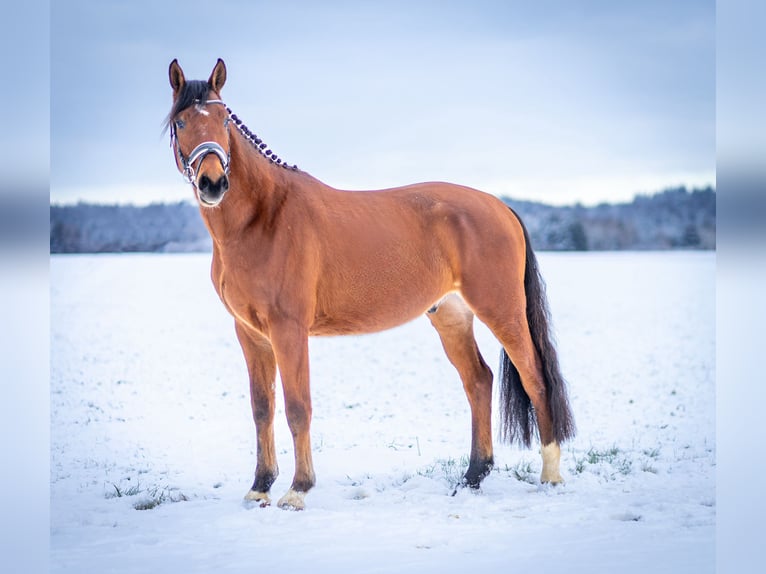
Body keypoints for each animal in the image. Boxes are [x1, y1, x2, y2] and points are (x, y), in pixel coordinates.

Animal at [168, 56, 576, 510]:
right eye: (181, 121)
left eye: (223, 118)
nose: (213, 183)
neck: (264, 216)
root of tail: (500, 206)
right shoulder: (250, 333)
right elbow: (262, 409)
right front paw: (259, 486)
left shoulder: (288, 330)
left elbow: (297, 407)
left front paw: (297, 489)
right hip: (451, 316)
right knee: (478, 381)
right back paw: (472, 476)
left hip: (502, 310)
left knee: (534, 377)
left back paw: (550, 474)